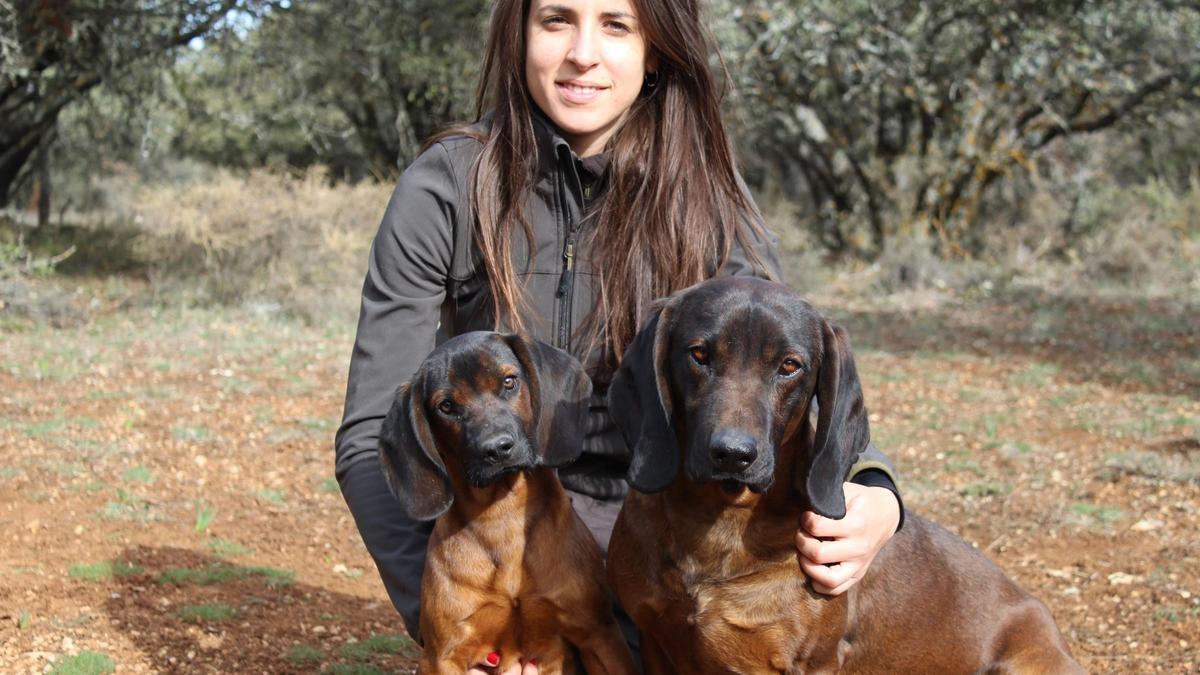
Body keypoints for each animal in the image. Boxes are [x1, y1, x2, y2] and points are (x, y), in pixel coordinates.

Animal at [379, 331, 643, 672]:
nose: (496, 448)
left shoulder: (599, 635)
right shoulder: (442, 657)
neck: (501, 517)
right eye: (446, 406)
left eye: (509, 381)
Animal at [604, 276, 1084, 667]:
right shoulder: (656, 641)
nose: (732, 454)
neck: (717, 528)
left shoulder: (813, 662)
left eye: (789, 366)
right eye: (699, 355)